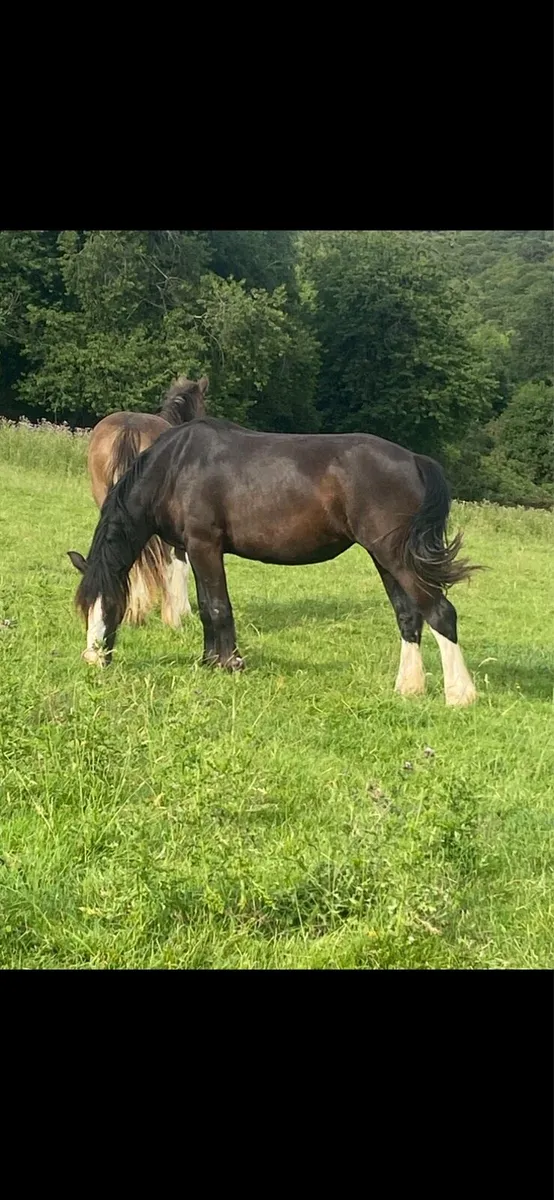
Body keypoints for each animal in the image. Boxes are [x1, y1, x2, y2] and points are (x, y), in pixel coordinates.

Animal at [68, 416, 479, 706]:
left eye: (112, 603)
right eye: (85, 607)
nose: (91, 660)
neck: (176, 467)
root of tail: (415, 460)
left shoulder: (204, 546)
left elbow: (217, 607)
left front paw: (230, 663)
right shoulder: (196, 551)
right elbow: (204, 606)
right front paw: (208, 661)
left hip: (396, 557)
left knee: (441, 612)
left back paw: (460, 694)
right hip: (386, 557)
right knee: (409, 616)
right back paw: (409, 687)